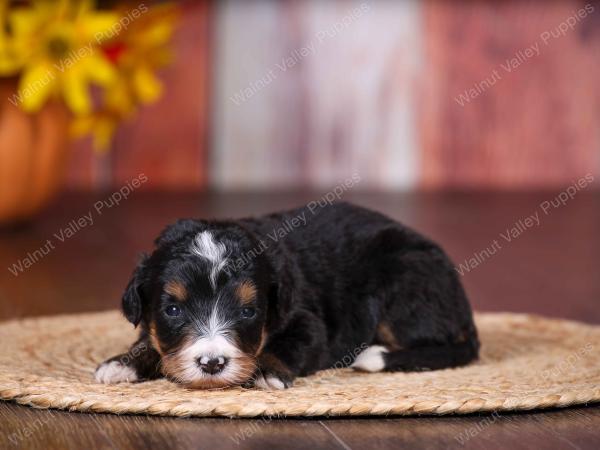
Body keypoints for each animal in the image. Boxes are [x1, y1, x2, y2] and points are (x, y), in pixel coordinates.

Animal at [95, 202, 478, 388]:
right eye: (173, 310)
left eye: (248, 312)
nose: (212, 363)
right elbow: (149, 339)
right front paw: (122, 364)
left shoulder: (309, 322)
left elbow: (289, 345)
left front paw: (266, 371)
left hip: (404, 282)